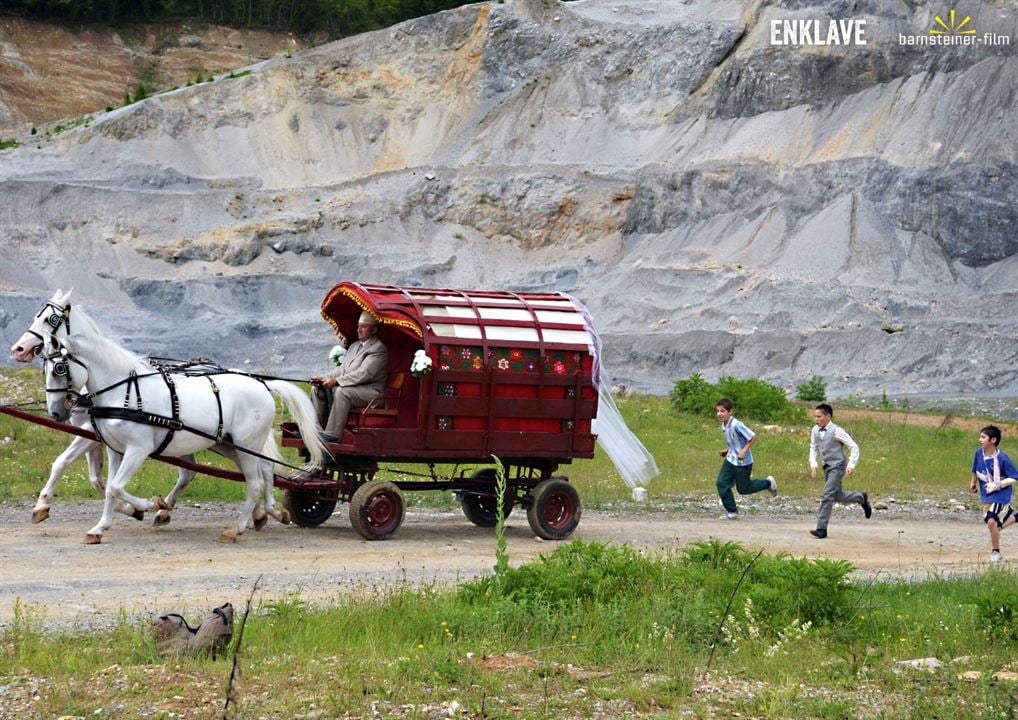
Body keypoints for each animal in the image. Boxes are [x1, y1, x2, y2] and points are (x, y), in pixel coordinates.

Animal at [18, 289, 325, 541]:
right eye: (45, 369)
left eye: (59, 368)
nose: (56, 411)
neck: (122, 389)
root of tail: (261, 383)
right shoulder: (113, 448)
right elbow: (106, 486)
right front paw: (101, 526)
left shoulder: (136, 449)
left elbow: (110, 485)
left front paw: (146, 504)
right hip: (227, 444)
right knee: (261, 470)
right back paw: (265, 513)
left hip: (245, 444)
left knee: (256, 481)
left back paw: (237, 527)